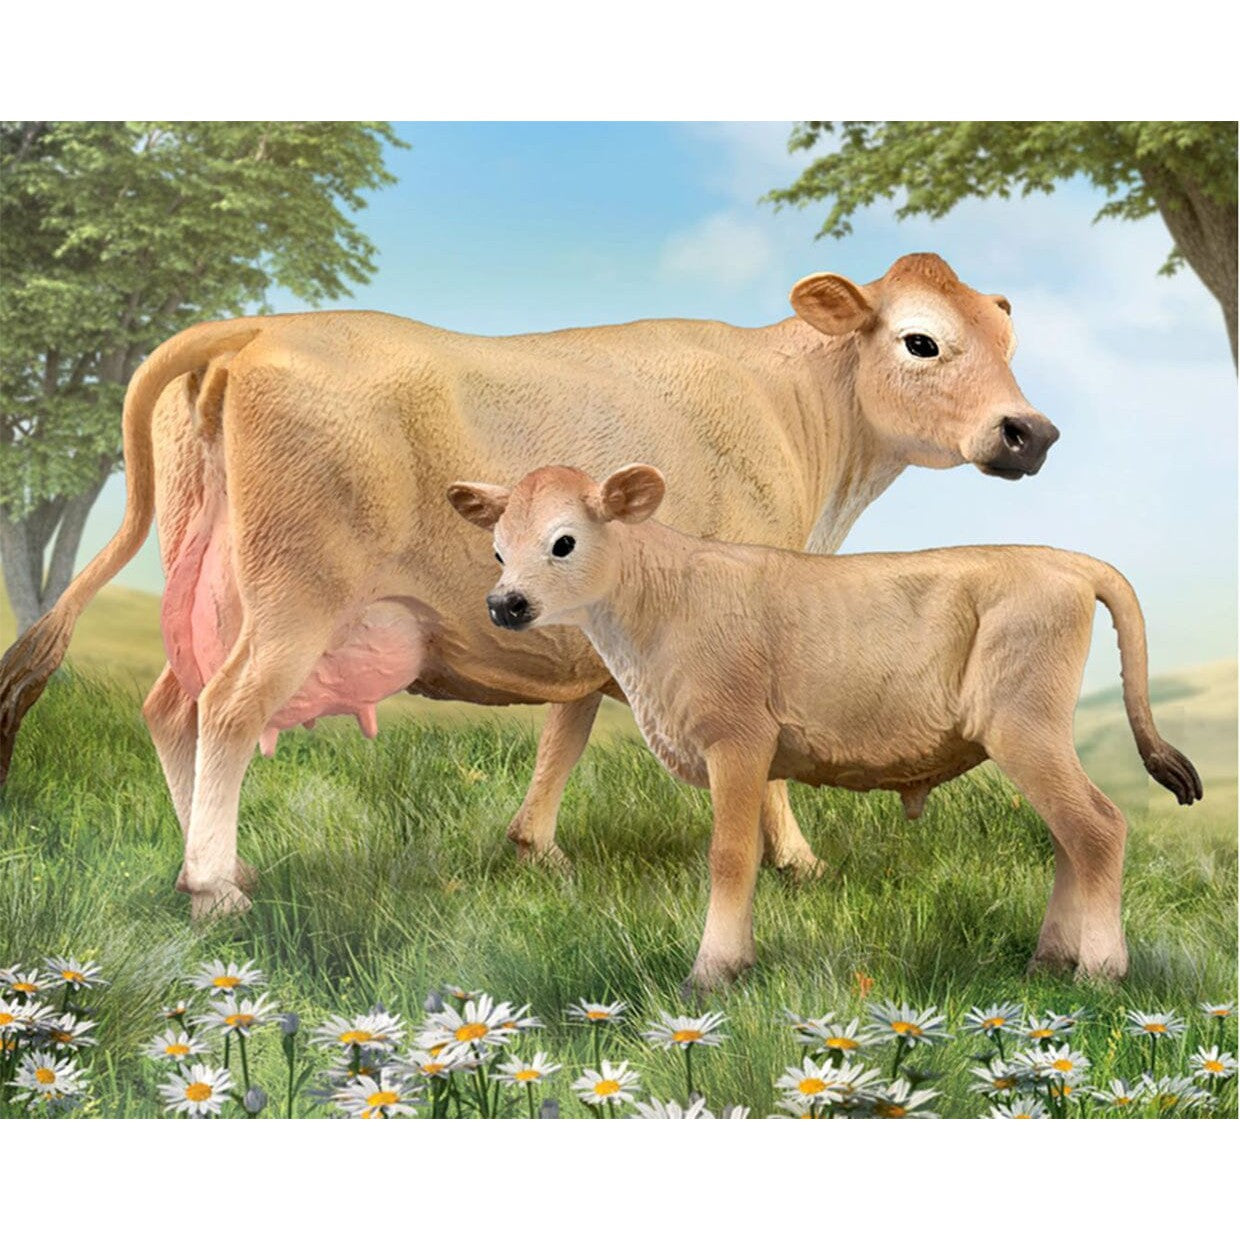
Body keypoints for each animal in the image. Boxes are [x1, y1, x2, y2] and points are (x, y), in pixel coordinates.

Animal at [0, 254, 1059, 920]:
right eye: (921, 342)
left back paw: (211, 863)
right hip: (296, 593)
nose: (1030, 431)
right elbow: (758, 755)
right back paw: (213, 888)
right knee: (224, 713)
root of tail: (256, 328)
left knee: (169, 706)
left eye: (1010, 347)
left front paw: (534, 849)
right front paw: (797, 862)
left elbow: (567, 729)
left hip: (208, 577)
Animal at [451, 463, 1201, 990]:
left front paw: (713, 971)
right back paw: (1048, 961)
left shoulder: (737, 738)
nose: (504, 604)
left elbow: (730, 855)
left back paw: (1100, 970)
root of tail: (1065, 559)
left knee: (1096, 828)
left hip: (1025, 724)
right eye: (497, 550)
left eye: (563, 542)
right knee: (1070, 836)